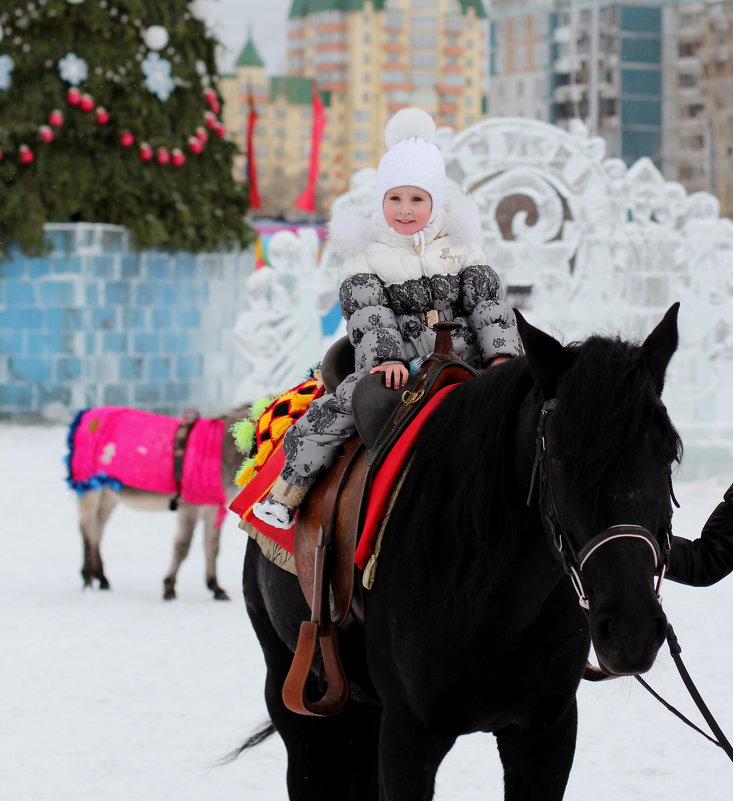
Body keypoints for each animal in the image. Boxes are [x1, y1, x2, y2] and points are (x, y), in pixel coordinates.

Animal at [243, 304, 684, 796]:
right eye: (559, 459)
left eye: (668, 455)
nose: (631, 631)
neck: (496, 598)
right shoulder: (408, 737)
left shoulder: (546, 734)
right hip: (293, 694)